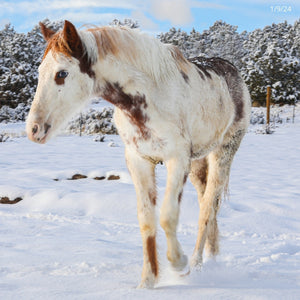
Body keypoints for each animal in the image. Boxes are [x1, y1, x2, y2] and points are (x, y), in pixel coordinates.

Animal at [26, 20, 251, 288]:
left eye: (61, 74)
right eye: (40, 71)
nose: (33, 129)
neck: (149, 98)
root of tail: (232, 71)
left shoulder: (177, 160)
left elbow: (167, 216)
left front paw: (178, 264)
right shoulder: (139, 161)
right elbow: (146, 220)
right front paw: (148, 281)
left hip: (223, 152)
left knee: (208, 207)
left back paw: (196, 264)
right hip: (198, 162)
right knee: (208, 202)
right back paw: (212, 256)